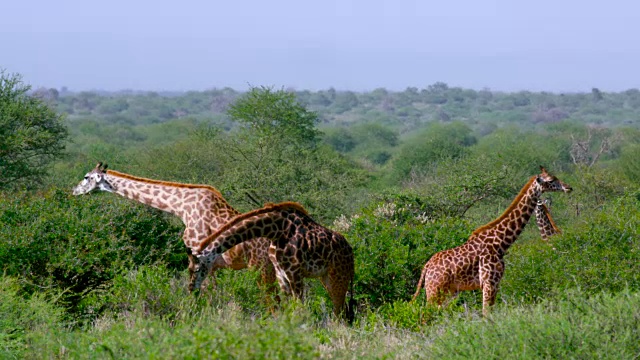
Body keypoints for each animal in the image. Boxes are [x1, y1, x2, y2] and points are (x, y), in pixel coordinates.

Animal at [71, 163, 276, 296]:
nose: (74, 191)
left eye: (86, 177)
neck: (181, 208)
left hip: (260, 266)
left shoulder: (201, 258)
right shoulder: (211, 264)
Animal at [192, 201, 358, 322]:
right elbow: (287, 306)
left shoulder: (295, 272)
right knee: (342, 309)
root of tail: (351, 255)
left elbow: (299, 306)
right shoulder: (281, 272)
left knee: (339, 309)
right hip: (327, 278)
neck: (276, 230)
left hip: (339, 277)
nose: (192, 289)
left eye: (196, 268)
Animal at [412, 166, 572, 316]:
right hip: (435, 290)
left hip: (449, 291)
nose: (568, 187)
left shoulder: (495, 283)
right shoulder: (489, 282)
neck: (500, 243)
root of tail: (426, 267)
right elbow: (486, 314)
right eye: (551, 180)